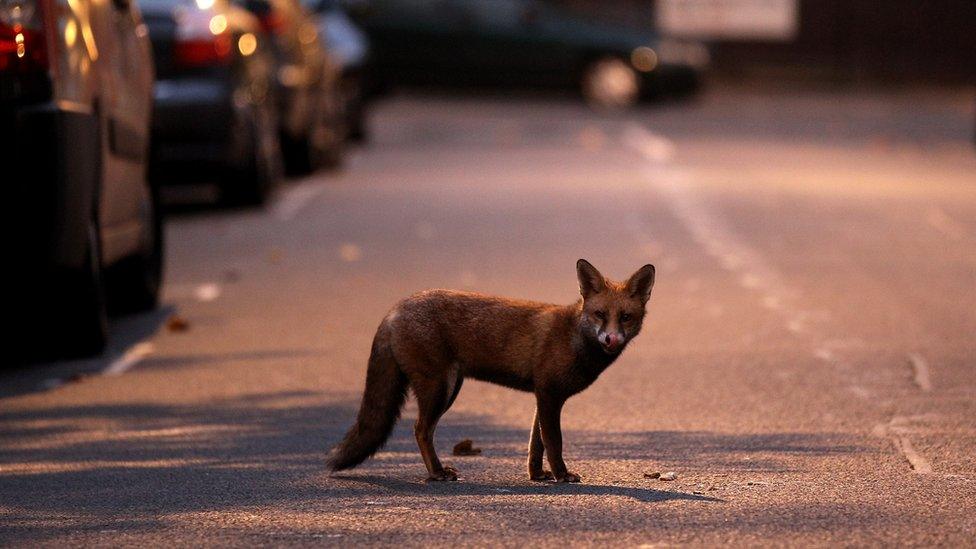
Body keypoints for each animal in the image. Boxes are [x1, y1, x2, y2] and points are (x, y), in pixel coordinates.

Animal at [326, 259, 655, 482]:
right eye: (600, 314)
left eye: (625, 317)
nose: (611, 339)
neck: (574, 337)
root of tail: (395, 308)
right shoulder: (549, 394)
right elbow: (554, 442)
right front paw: (562, 475)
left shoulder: (542, 396)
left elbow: (535, 445)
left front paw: (538, 476)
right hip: (441, 388)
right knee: (420, 429)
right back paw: (437, 472)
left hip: (450, 386)